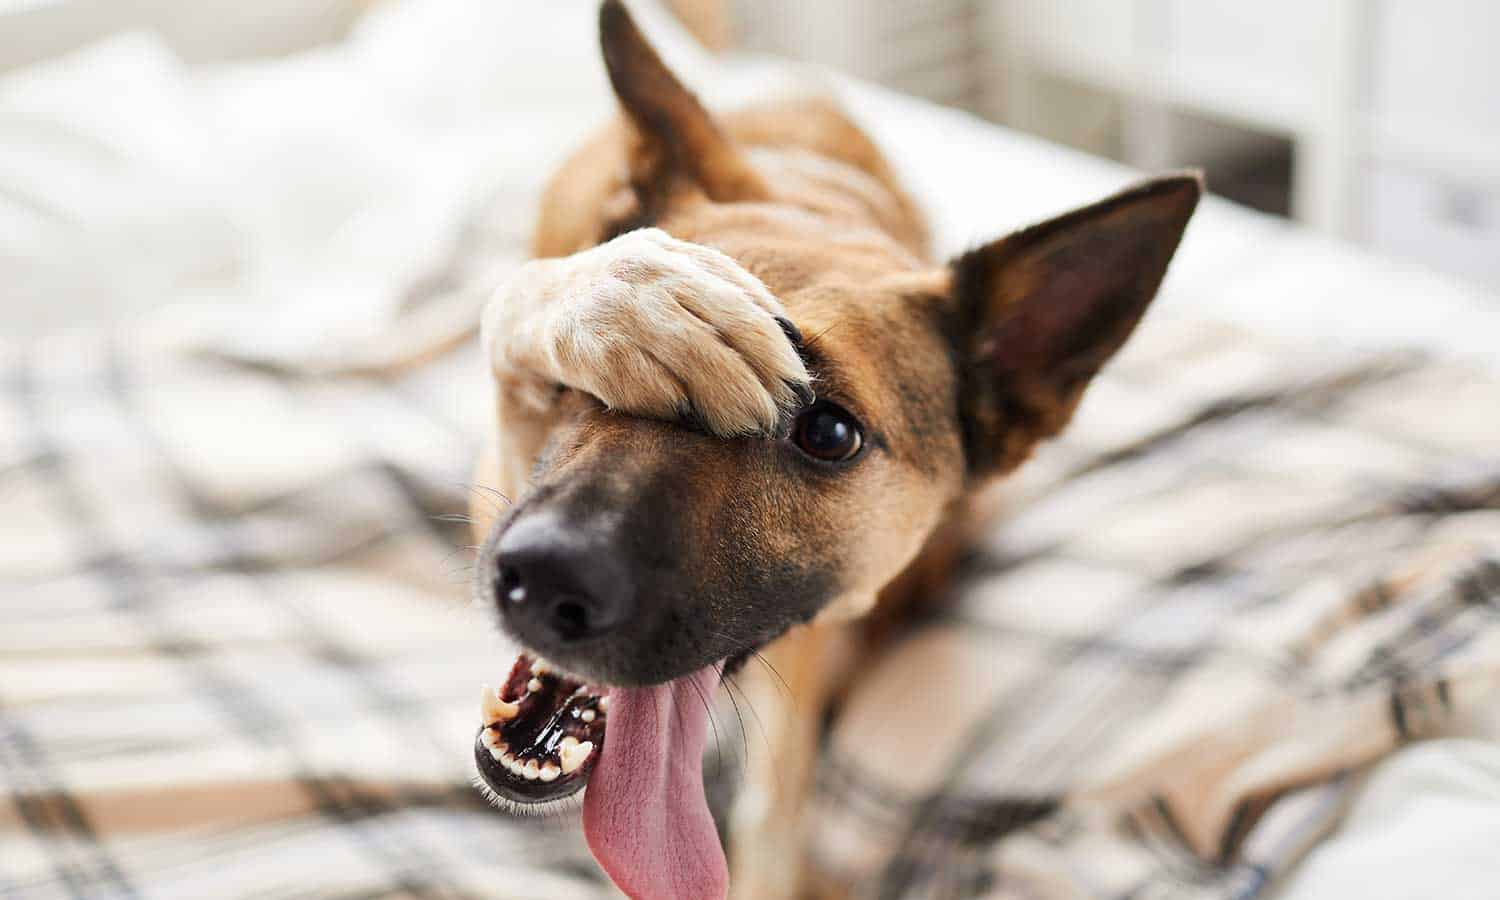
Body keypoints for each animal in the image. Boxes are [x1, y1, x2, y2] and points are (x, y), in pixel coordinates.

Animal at [465, 3, 1194, 894]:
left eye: (830, 434)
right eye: (597, 381)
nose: (543, 578)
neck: (820, 204)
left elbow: (772, 811)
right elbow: (532, 300)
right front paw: (629, 296)